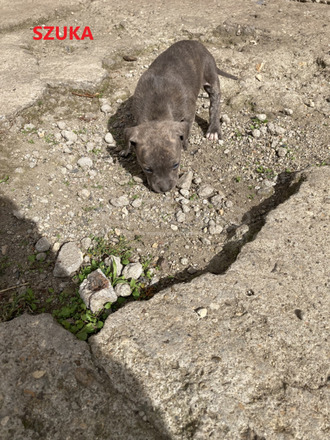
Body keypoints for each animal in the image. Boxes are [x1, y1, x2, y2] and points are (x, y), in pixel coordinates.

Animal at [124, 40, 237, 192]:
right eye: (147, 169)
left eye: (175, 165)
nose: (165, 189)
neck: (156, 114)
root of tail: (196, 43)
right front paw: (125, 149)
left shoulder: (189, 113)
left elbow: (188, 127)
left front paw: (185, 144)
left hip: (211, 76)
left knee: (215, 103)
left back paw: (213, 129)